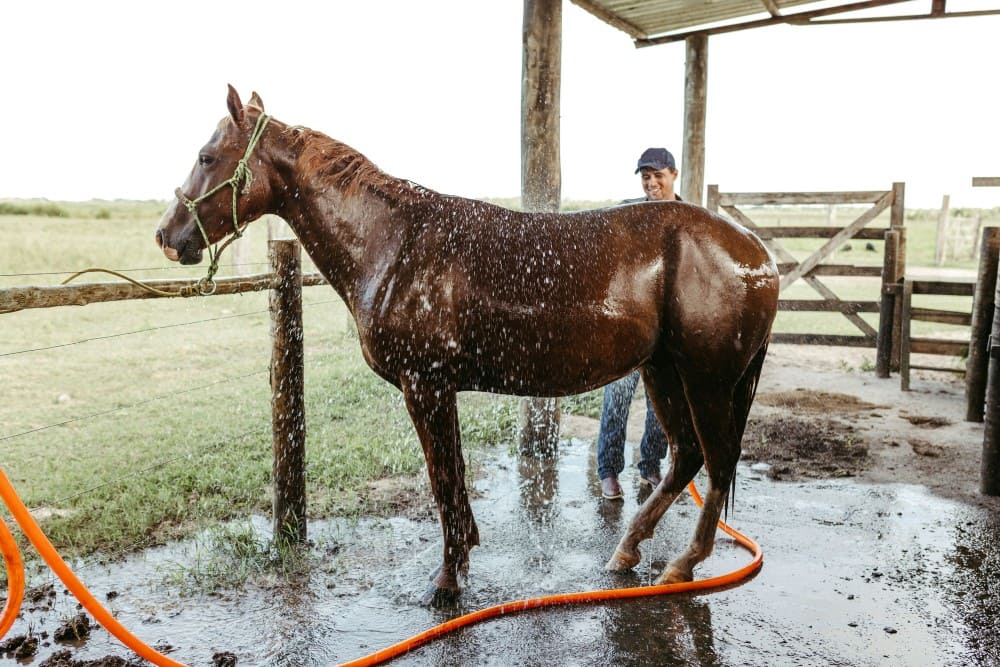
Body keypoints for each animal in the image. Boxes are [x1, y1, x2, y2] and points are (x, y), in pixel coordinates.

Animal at [156, 86, 780, 603]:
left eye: (207, 157)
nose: (167, 235)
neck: (396, 243)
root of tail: (758, 253)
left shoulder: (425, 386)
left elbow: (443, 482)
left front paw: (447, 580)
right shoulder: (439, 389)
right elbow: (452, 478)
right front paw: (463, 558)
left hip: (706, 381)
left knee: (718, 460)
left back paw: (683, 561)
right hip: (664, 372)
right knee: (687, 457)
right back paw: (627, 551)